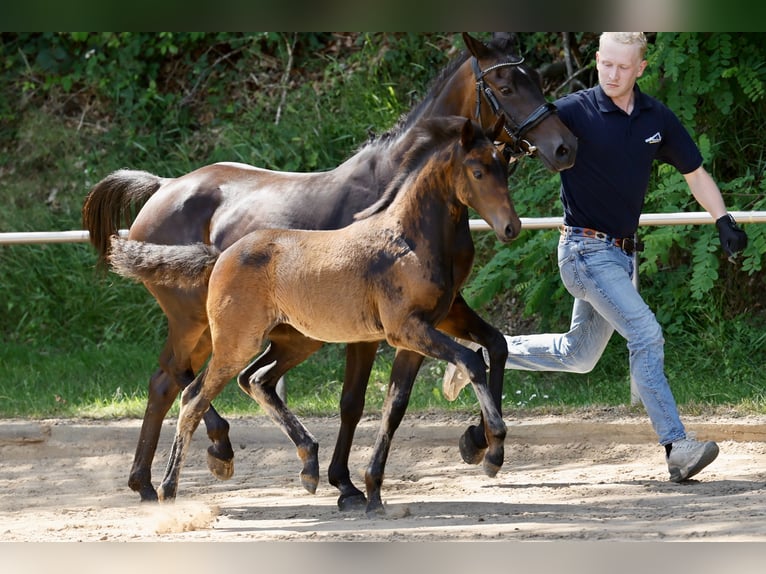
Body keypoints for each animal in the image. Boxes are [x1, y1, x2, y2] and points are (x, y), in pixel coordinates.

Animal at [108, 115, 518, 514]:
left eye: (506, 166)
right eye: (478, 172)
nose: (510, 227)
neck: (409, 240)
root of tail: (219, 255)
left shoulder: (427, 328)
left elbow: (401, 402)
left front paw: (372, 489)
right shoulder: (405, 329)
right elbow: (469, 360)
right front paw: (492, 448)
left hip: (296, 340)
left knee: (250, 380)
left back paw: (305, 466)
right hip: (233, 342)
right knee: (193, 396)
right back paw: (172, 487)